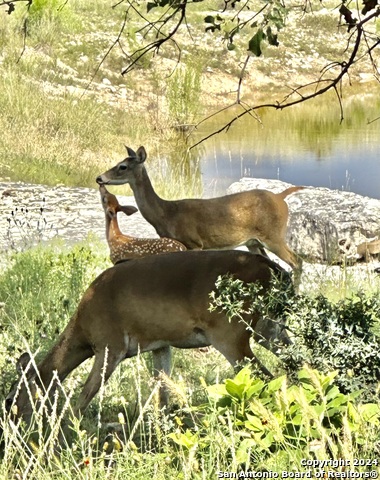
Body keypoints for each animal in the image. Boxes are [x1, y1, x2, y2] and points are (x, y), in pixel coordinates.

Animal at [5, 248, 290, 424]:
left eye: (9, 400)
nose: (11, 423)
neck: (83, 328)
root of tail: (275, 271)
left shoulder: (110, 344)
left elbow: (87, 392)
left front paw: (67, 428)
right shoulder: (160, 344)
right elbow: (162, 388)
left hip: (230, 331)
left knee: (265, 376)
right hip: (269, 328)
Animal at [96, 144, 304, 286]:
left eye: (123, 166)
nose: (99, 178)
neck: (166, 214)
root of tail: (280, 197)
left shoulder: (193, 242)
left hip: (273, 235)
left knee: (296, 261)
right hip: (253, 241)